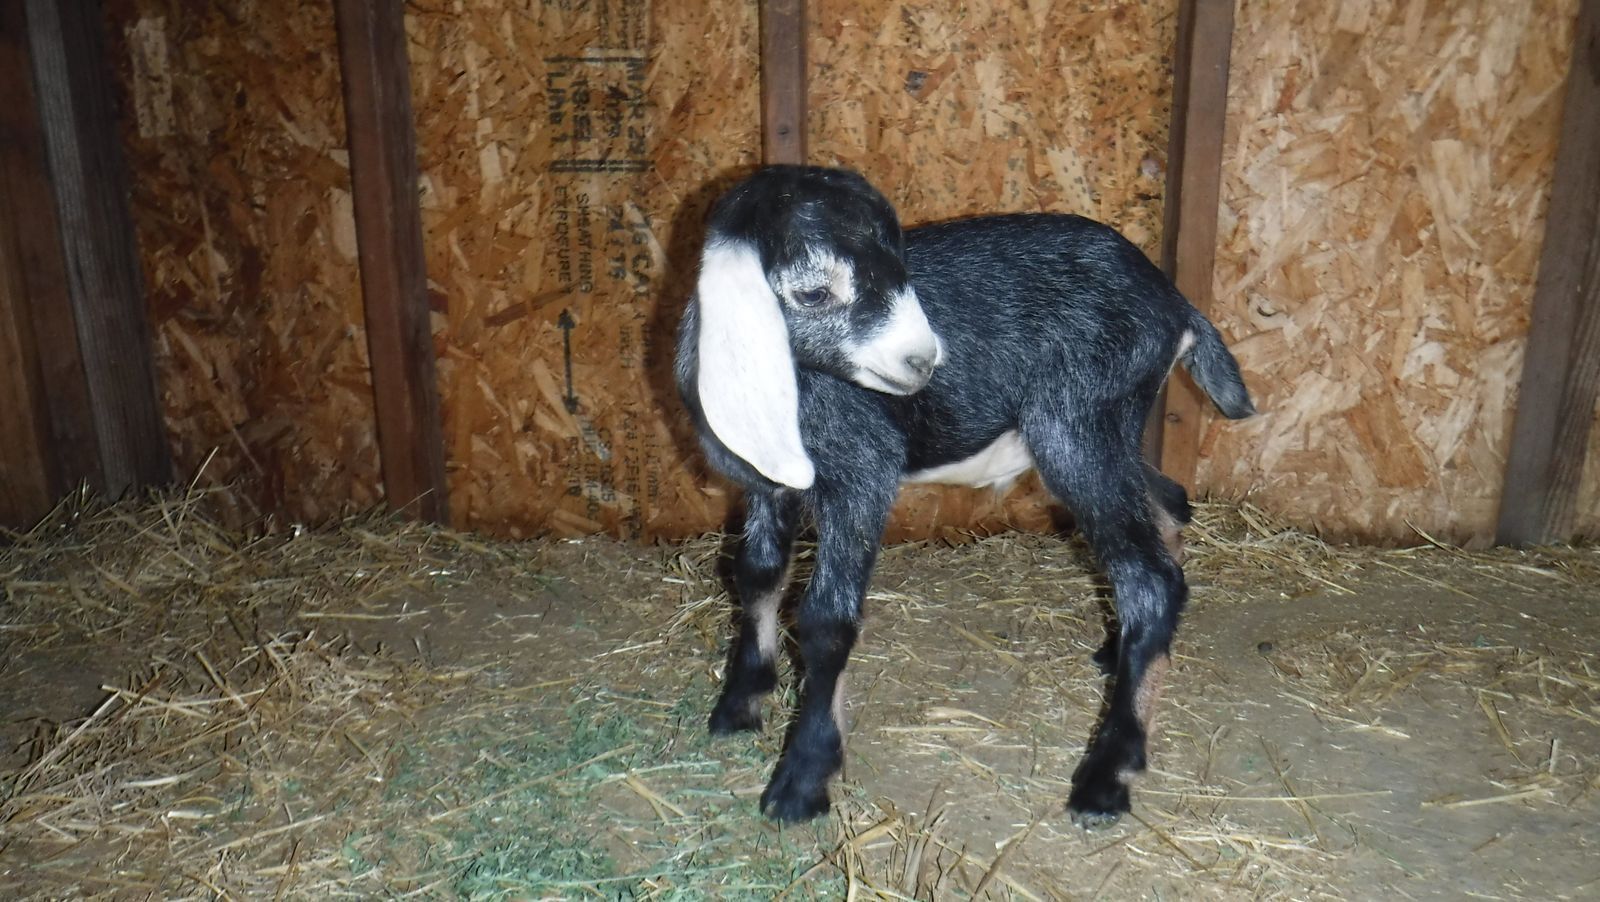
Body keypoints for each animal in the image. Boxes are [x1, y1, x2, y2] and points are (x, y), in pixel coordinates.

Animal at [674, 166, 1255, 827]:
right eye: (815, 292)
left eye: (900, 266)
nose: (923, 359)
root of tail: (1175, 305)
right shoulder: (766, 486)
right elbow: (756, 574)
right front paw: (739, 705)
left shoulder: (862, 472)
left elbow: (825, 618)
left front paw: (802, 779)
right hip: (1102, 434)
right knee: (1167, 508)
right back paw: (1121, 653)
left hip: (1079, 425)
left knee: (1149, 579)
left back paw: (1108, 776)